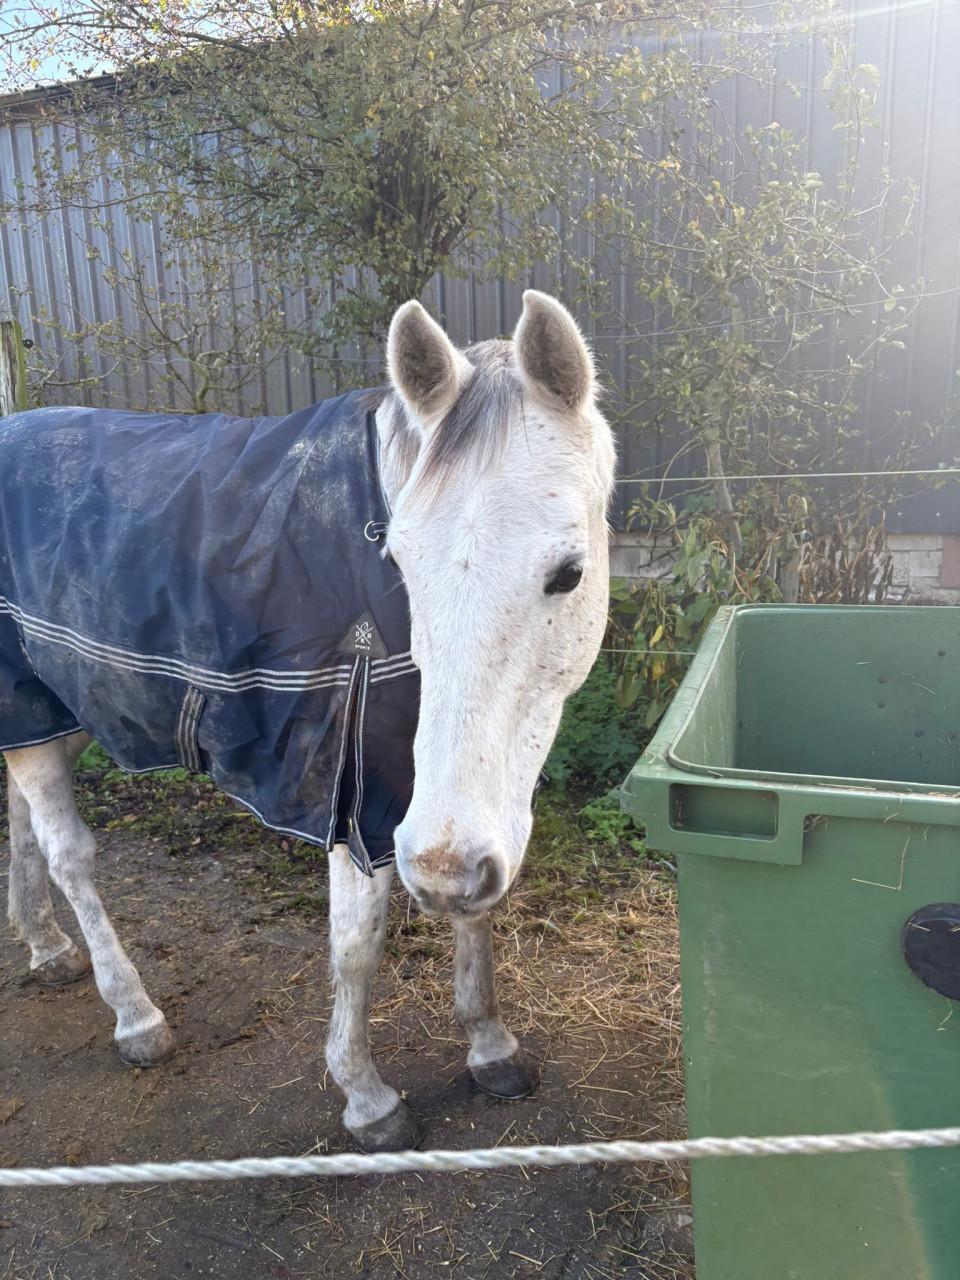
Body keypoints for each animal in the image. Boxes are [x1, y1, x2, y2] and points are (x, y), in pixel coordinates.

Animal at [1, 291, 615, 1152]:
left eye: (568, 574)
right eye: (401, 564)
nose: (441, 871)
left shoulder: (459, 810)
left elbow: (475, 915)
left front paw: (490, 1048)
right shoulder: (352, 794)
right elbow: (357, 945)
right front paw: (366, 1096)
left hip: (49, 712)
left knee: (21, 819)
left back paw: (46, 946)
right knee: (68, 854)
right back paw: (135, 1016)